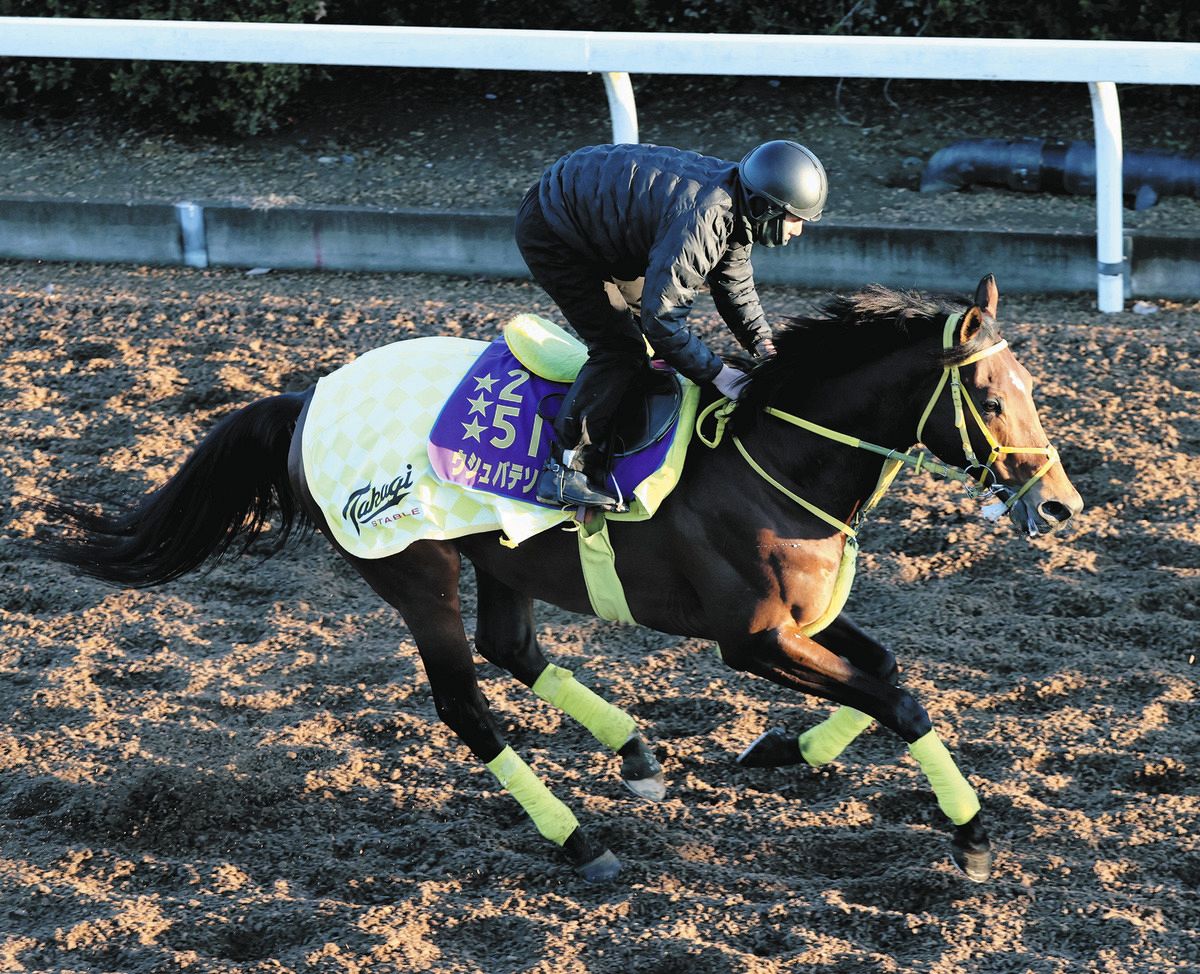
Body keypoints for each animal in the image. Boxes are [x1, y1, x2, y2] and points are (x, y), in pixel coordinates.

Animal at [35, 273, 1083, 884]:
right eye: (990, 397)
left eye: (1033, 388)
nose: (1063, 504)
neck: (775, 458)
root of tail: (308, 398)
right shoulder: (750, 640)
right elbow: (897, 701)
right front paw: (972, 833)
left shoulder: (804, 622)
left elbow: (889, 678)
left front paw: (782, 750)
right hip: (413, 567)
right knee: (465, 701)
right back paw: (581, 839)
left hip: (503, 553)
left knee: (512, 647)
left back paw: (637, 754)